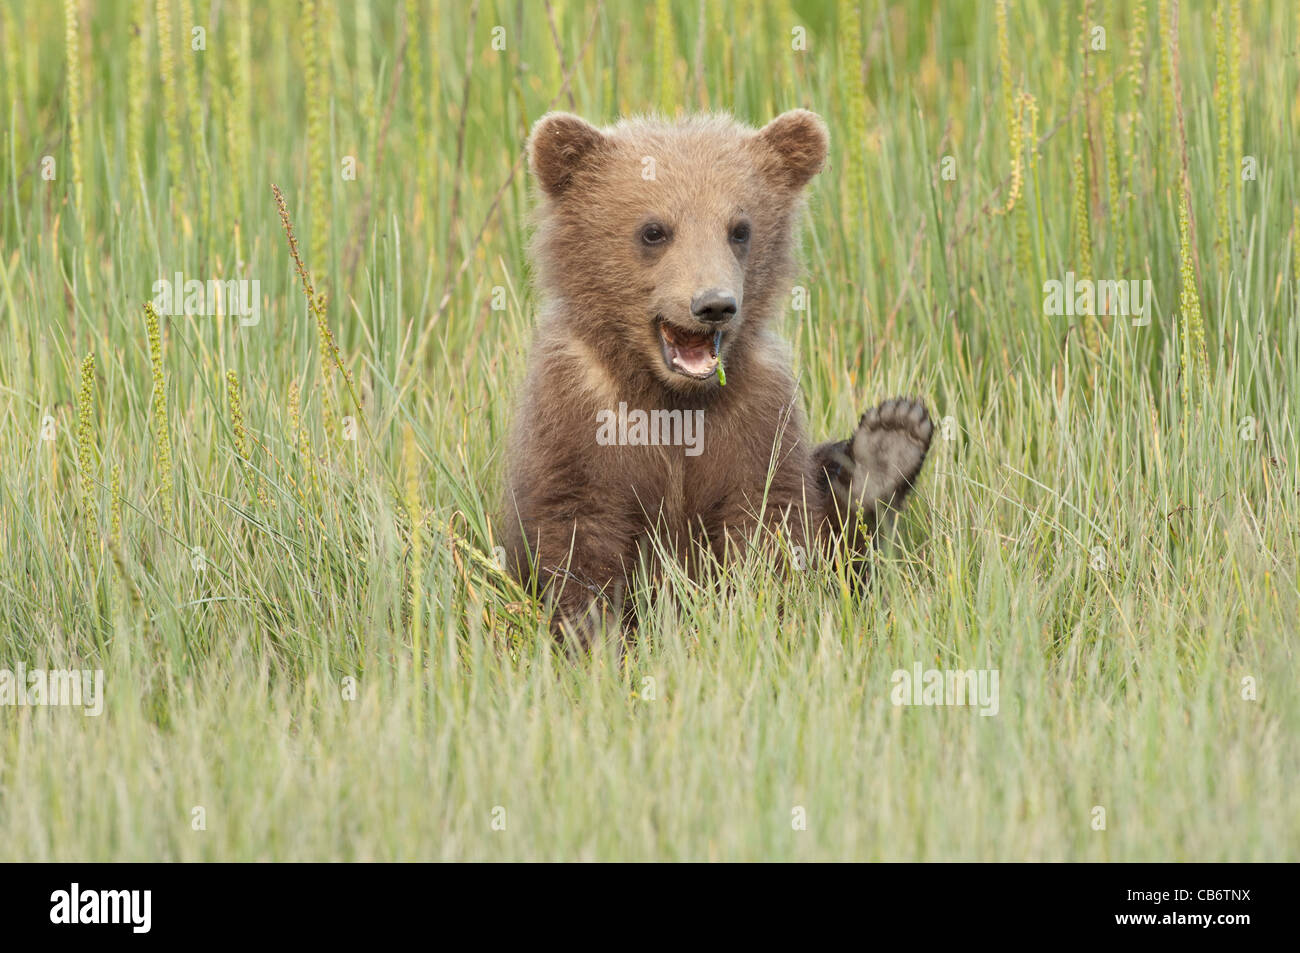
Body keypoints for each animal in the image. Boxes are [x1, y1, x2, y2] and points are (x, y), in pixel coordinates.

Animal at [501, 109, 933, 648]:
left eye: (740, 229)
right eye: (654, 230)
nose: (714, 304)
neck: (672, 395)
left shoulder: (757, 412)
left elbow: (773, 522)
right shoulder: (578, 410)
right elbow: (577, 529)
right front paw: (593, 634)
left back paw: (886, 451)